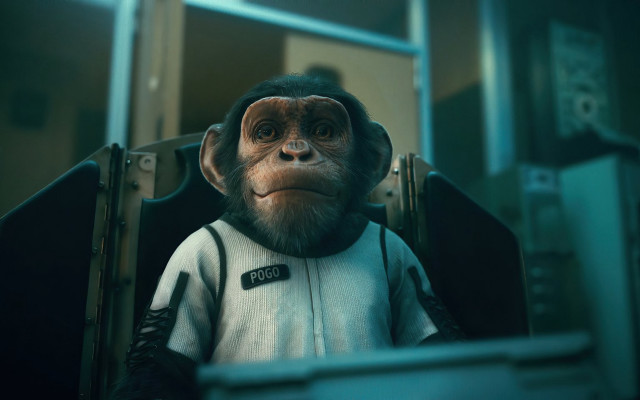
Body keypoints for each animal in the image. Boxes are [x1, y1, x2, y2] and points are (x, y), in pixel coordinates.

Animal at [110, 74, 463, 400]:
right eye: (267, 133)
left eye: (323, 131)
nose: (295, 152)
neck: (305, 251)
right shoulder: (189, 258)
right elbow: (160, 368)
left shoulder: (403, 256)